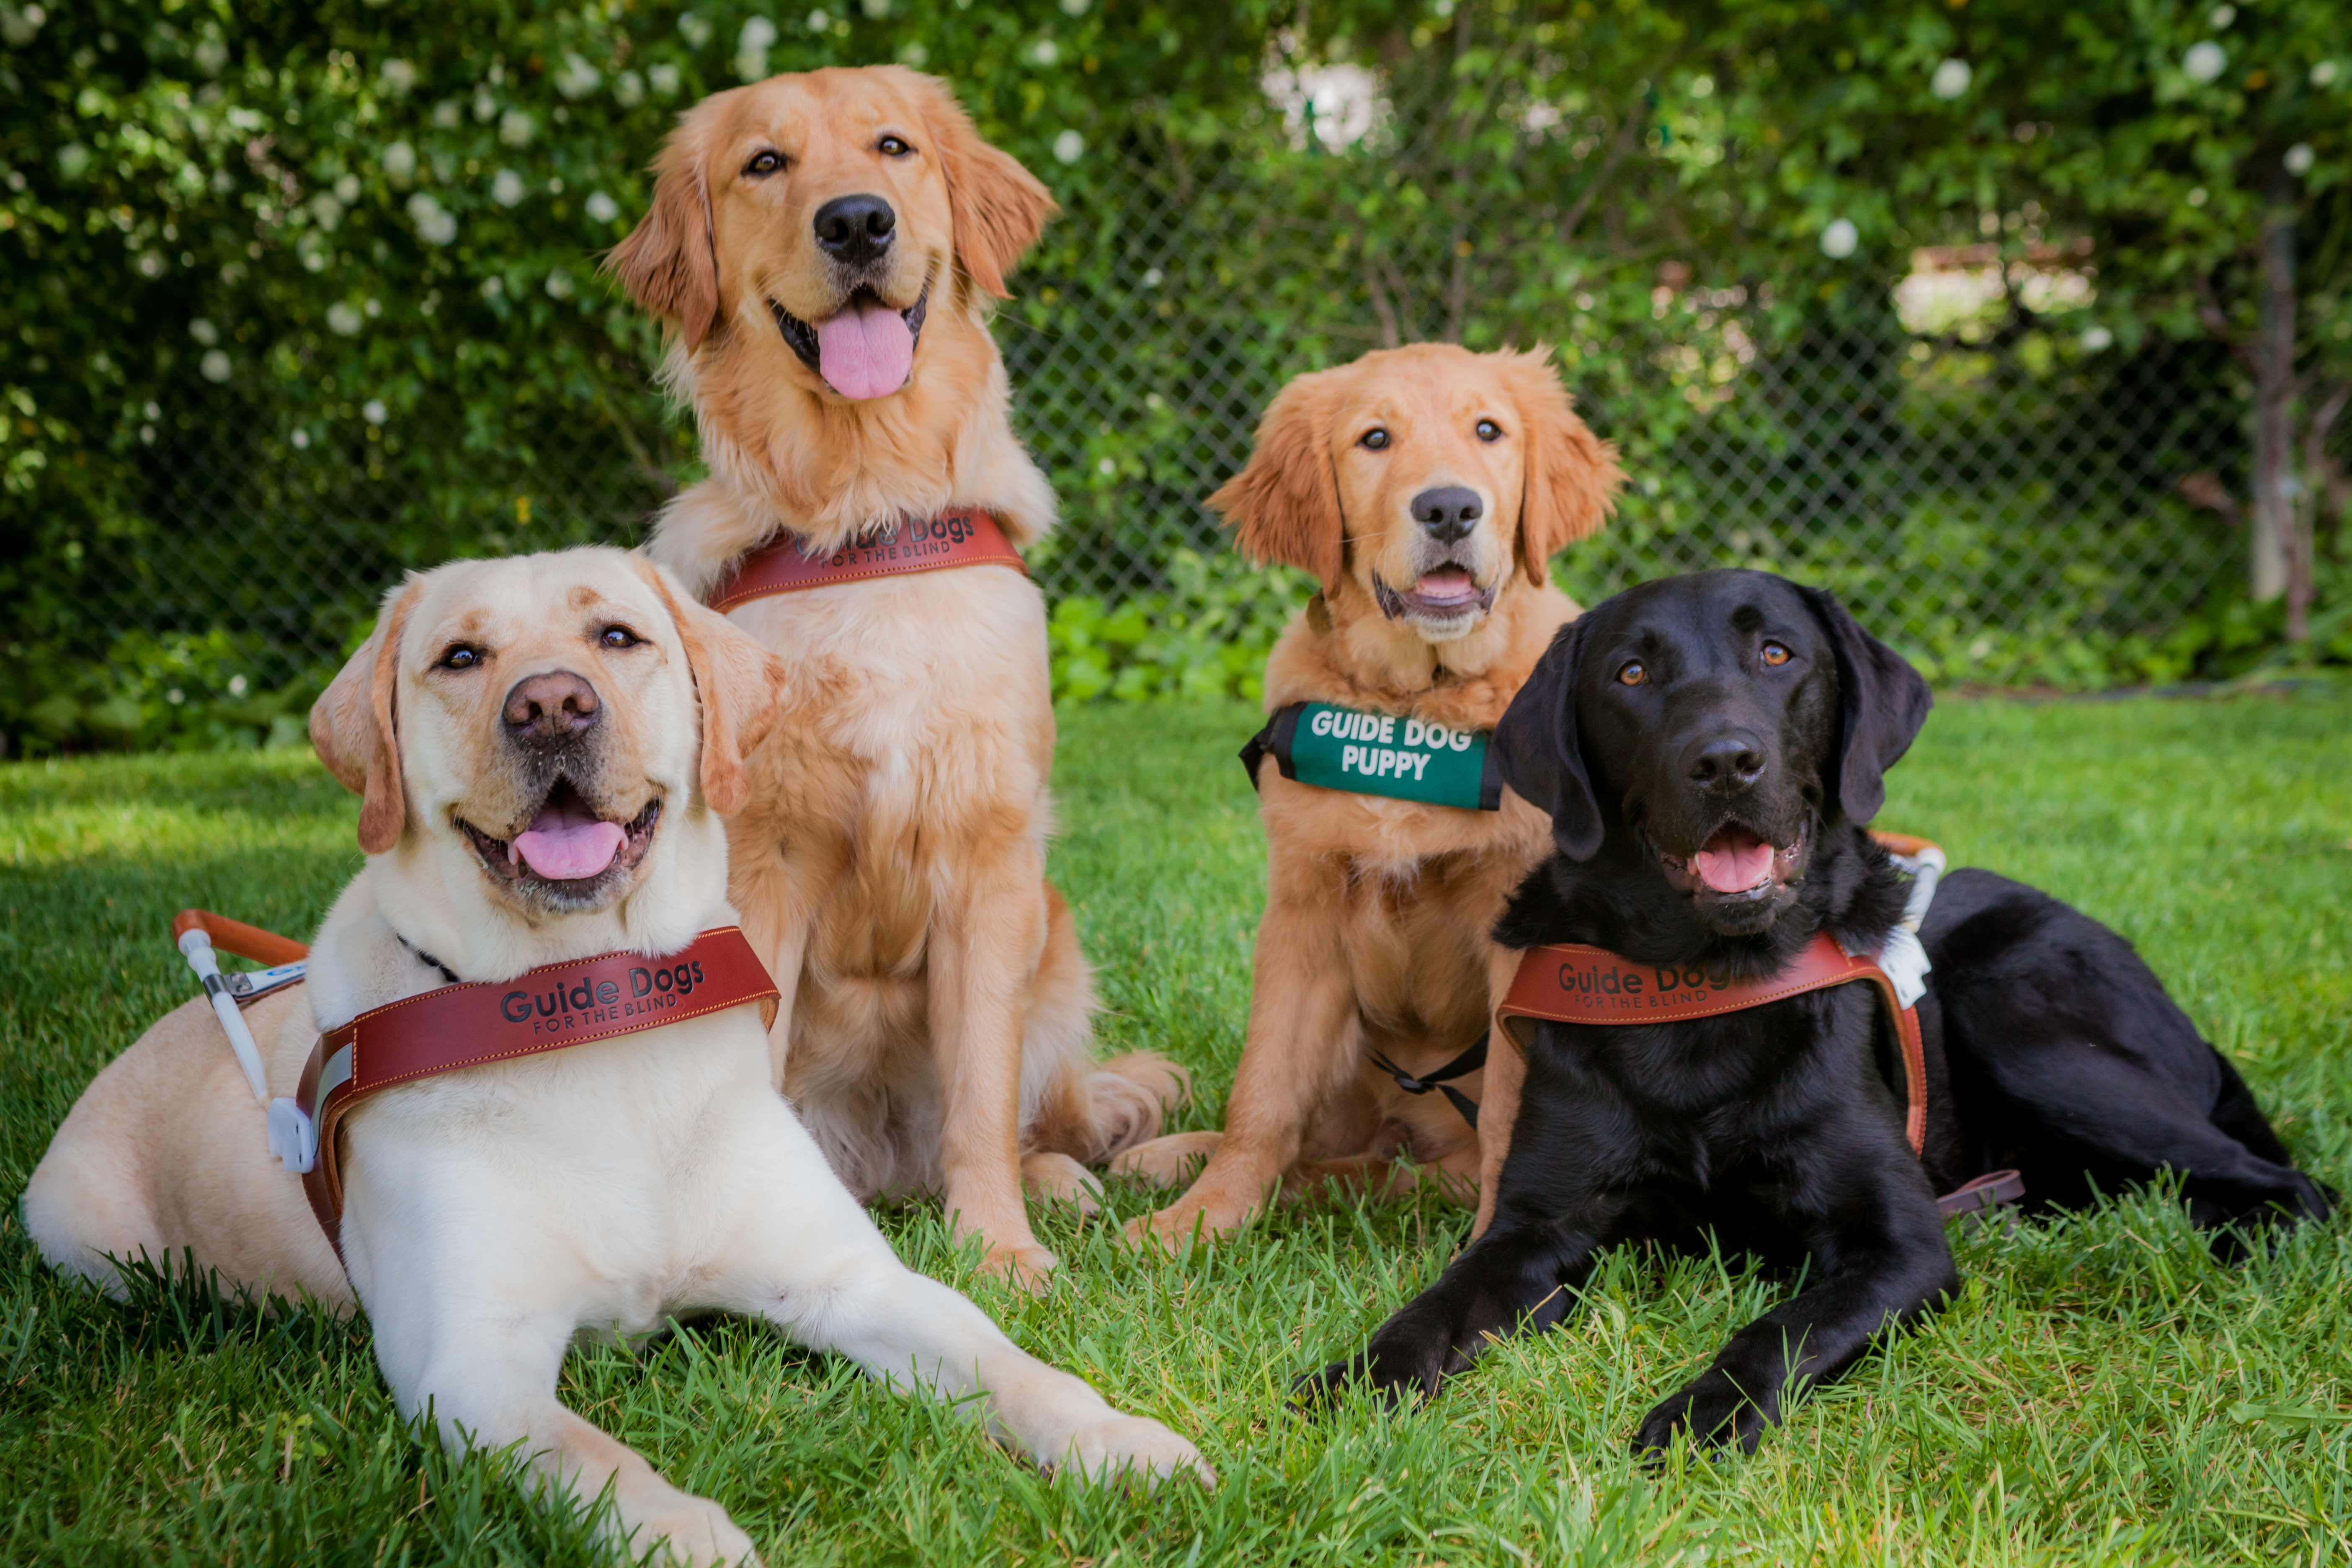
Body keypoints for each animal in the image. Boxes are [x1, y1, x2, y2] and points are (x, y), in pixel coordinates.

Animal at [27, 545, 1213, 1561]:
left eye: (617, 636)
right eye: (460, 657)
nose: (552, 704)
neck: (593, 1015)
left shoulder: (855, 1279)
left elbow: (1010, 1364)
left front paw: (1123, 1440)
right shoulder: (474, 1366)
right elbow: (595, 1460)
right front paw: (691, 1533)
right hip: (83, 1241)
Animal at [606, 64, 1176, 1288]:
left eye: (893, 147)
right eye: (763, 164)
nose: (858, 222)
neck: (870, 520)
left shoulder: (990, 866)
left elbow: (978, 1096)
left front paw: (999, 1247)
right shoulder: (765, 865)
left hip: (1056, 944)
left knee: (1042, 1110)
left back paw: (1061, 1183)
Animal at [1114, 343, 1618, 1251]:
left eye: (1488, 430)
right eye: (1374, 439)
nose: (1450, 508)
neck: (1414, 708)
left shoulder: (1523, 936)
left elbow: (1508, 1111)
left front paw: (1494, 1245)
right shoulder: (1302, 915)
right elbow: (1261, 1093)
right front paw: (1204, 1217)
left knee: (1408, 1172)